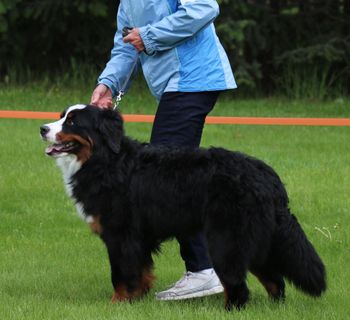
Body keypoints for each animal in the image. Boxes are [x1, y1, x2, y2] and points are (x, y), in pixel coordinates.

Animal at [39, 104, 326, 310]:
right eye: (61, 116)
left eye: (73, 121)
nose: (42, 128)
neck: (105, 160)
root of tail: (268, 176)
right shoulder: (139, 238)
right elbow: (141, 272)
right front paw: (138, 300)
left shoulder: (120, 235)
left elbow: (121, 274)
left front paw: (118, 303)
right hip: (257, 241)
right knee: (275, 281)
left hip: (226, 240)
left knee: (238, 286)